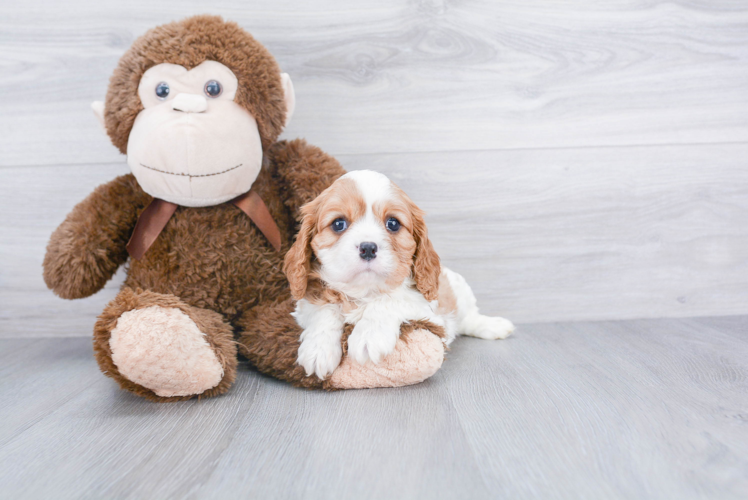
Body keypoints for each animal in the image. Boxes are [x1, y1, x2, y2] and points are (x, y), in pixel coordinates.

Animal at [282, 171, 516, 378]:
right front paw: (317, 349)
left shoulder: (428, 311)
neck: (365, 292)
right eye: (338, 223)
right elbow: (325, 309)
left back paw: (494, 326)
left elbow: (389, 299)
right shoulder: (305, 306)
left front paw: (369, 336)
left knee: (469, 318)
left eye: (392, 223)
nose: (368, 248)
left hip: (460, 290)